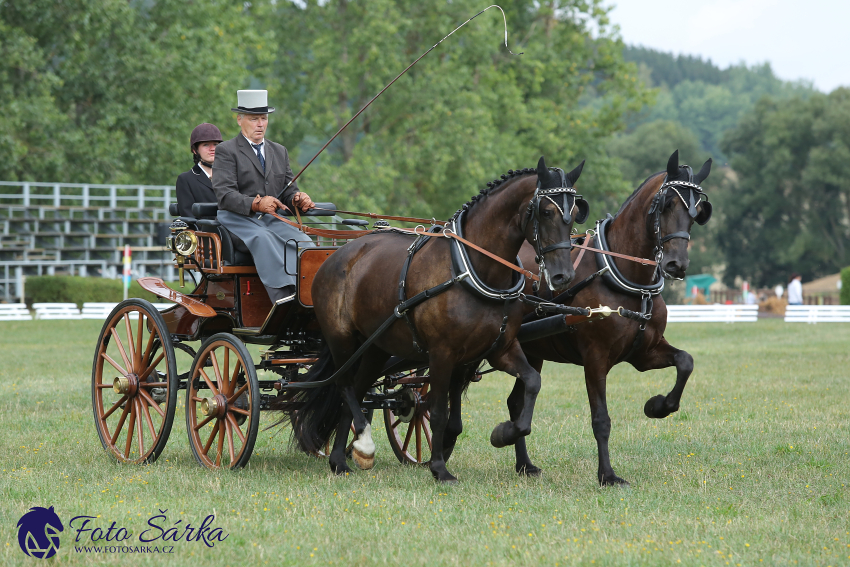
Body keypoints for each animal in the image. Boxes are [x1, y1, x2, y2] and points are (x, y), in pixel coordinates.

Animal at [274, 156, 588, 484]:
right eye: (546, 211)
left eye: (574, 215)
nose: (562, 276)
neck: (471, 268)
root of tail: (336, 256)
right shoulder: (442, 353)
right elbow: (437, 411)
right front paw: (439, 468)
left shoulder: (497, 349)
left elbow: (531, 383)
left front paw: (503, 434)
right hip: (341, 340)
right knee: (345, 387)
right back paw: (364, 445)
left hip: (375, 347)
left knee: (356, 392)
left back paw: (341, 460)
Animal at [506, 152, 712, 488]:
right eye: (667, 204)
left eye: (696, 212)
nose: (676, 264)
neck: (626, 279)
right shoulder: (595, 358)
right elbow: (601, 419)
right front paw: (608, 475)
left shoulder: (644, 352)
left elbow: (685, 362)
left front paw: (658, 406)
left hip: (532, 352)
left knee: (516, 401)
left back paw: (524, 463)